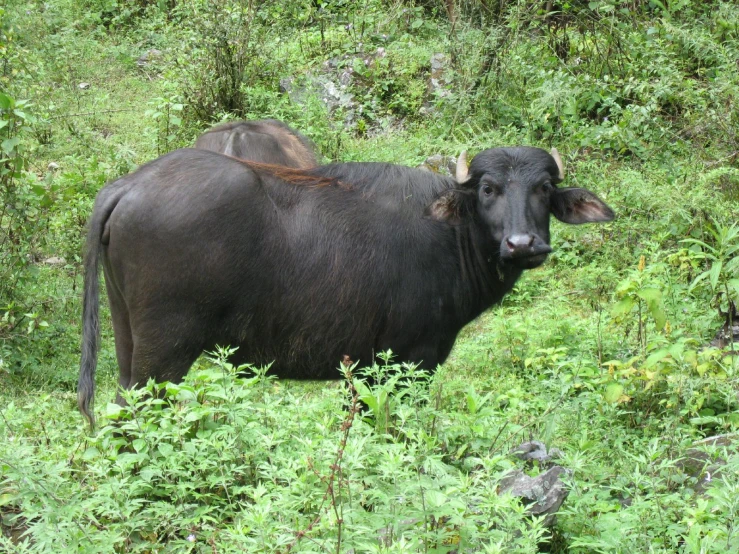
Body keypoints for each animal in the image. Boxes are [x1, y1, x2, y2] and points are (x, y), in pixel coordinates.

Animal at [78, 146, 616, 422]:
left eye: (543, 188)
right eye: (488, 189)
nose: (523, 244)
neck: (451, 233)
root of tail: (129, 184)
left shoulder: (364, 369)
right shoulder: (410, 361)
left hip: (128, 339)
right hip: (165, 353)